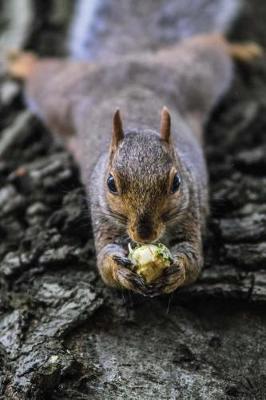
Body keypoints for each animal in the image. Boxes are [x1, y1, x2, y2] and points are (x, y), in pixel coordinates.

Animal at [6, 0, 262, 296]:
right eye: (111, 184)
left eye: (176, 183)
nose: (144, 234)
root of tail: (127, 58)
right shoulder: (102, 215)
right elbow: (105, 263)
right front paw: (120, 271)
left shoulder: (191, 209)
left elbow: (194, 259)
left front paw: (177, 269)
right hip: (61, 95)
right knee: (43, 75)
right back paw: (22, 62)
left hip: (195, 74)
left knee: (211, 45)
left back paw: (240, 49)